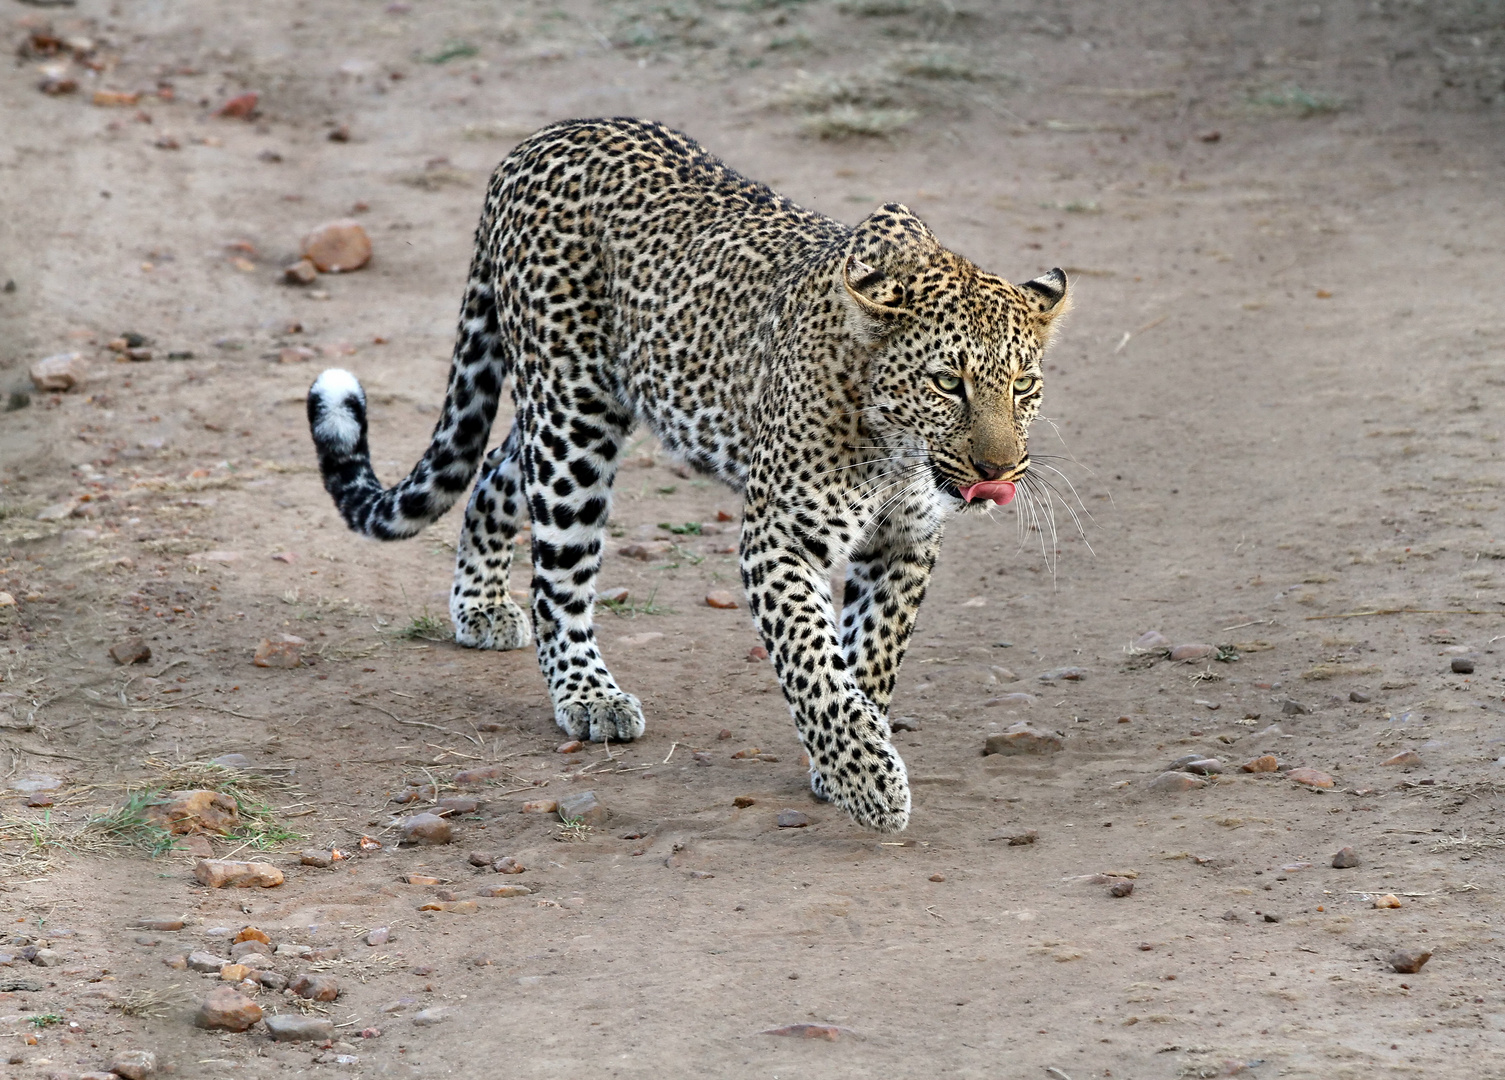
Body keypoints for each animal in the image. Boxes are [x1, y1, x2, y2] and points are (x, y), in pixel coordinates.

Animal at [305, 114, 1065, 836]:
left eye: (1023, 385)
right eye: (946, 383)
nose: (998, 470)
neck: (895, 447)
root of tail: (537, 141)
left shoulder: (905, 543)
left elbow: (871, 653)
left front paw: (848, 757)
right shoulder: (780, 539)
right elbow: (814, 664)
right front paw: (867, 782)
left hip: (564, 410)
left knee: (494, 470)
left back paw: (480, 605)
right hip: (572, 414)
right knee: (556, 574)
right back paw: (588, 694)